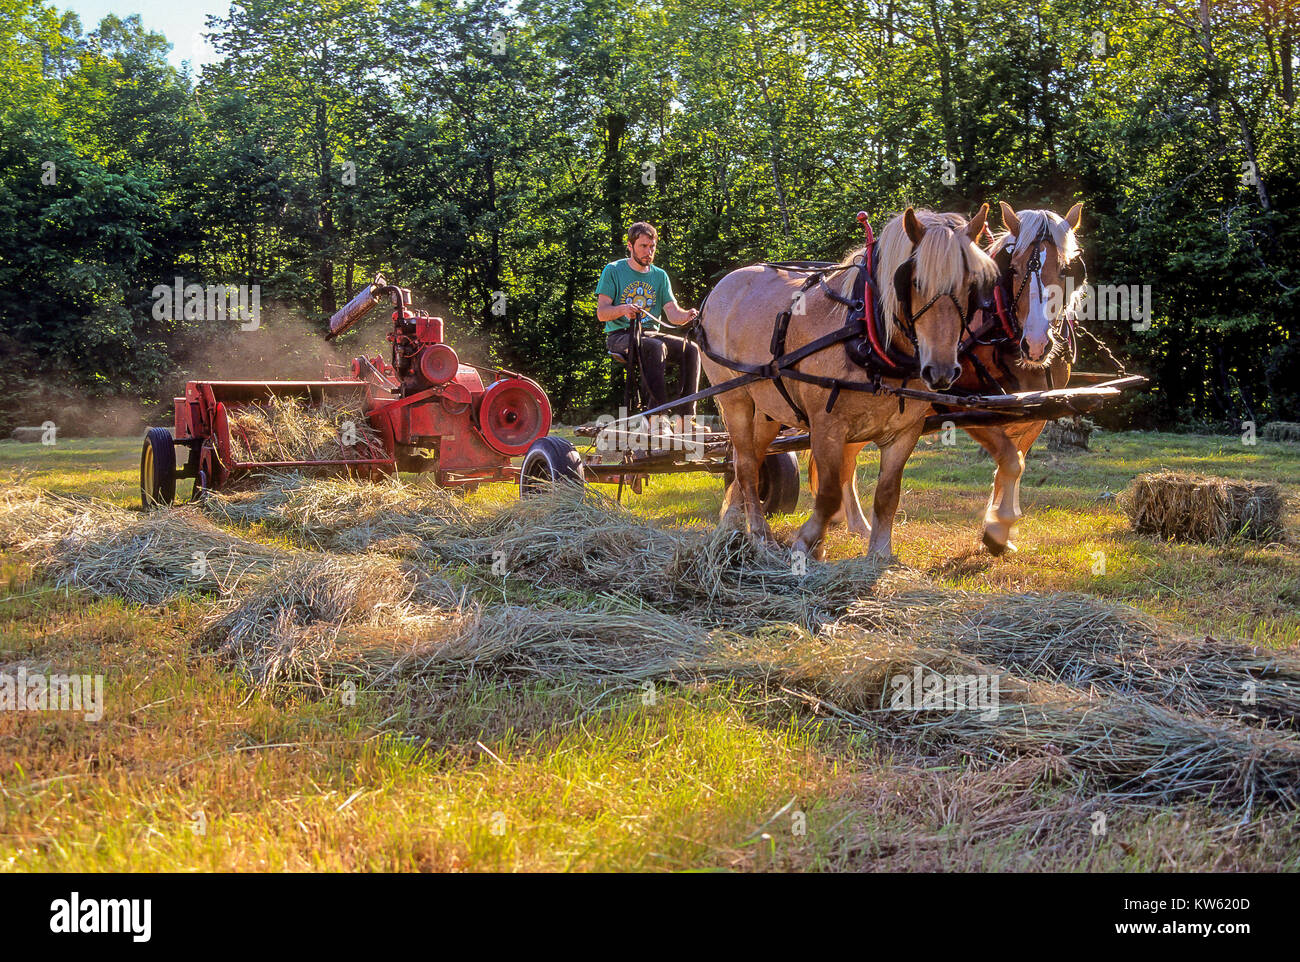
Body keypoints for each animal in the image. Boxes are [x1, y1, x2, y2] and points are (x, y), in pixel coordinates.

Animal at [700, 205, 998, 559]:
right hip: (735, 399)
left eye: (970, 284)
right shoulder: (826, 426)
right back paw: (759, 535)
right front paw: (807, 543)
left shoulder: (905, 432)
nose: (940, 370)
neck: (866, 333)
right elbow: (828, 494)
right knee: (745, 464)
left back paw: (731, 525)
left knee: (751, 458)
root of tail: (721, 287)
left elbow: (887, 494)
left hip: (769, 408)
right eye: (913, 281)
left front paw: (880, 553)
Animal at [809, 201, 1086, 555]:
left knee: (846, 459)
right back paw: (856, 523)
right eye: (1014, 267)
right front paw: (998, 529)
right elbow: (1010, 461)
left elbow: (1014, 463)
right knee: (845, 461)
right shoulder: (961, 404)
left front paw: (1000, 528)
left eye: (1067, 270)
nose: (1036, 344)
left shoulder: (1036, 411)